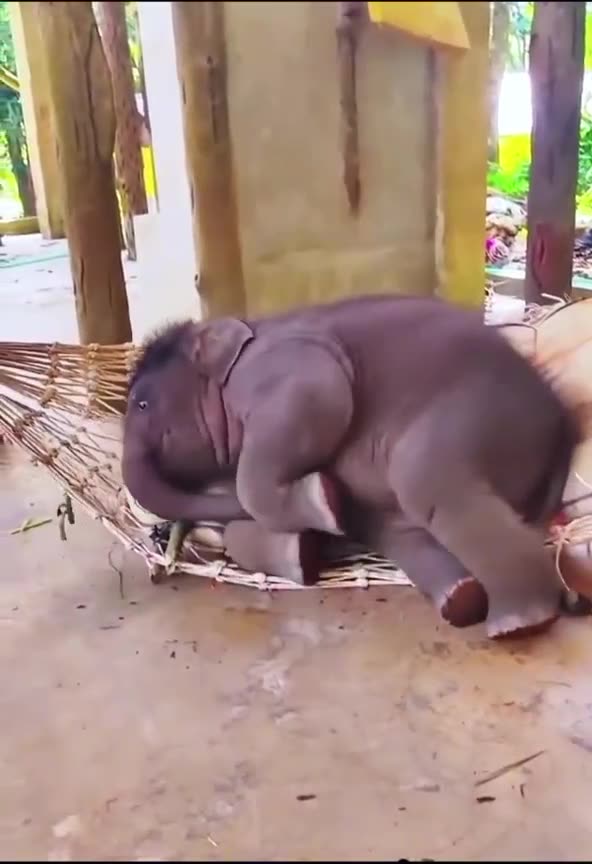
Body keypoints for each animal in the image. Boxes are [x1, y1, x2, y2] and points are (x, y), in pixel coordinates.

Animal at [122, 293, 582, 639]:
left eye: (141, 404)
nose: (161, 533)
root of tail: (560, 426)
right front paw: (312, 540)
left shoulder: (286, 371)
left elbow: (319, 398)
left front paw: (324, 500)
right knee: (400, 527)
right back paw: (461, 599)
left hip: (480, 414)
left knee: (424, 482)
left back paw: (518, 623)